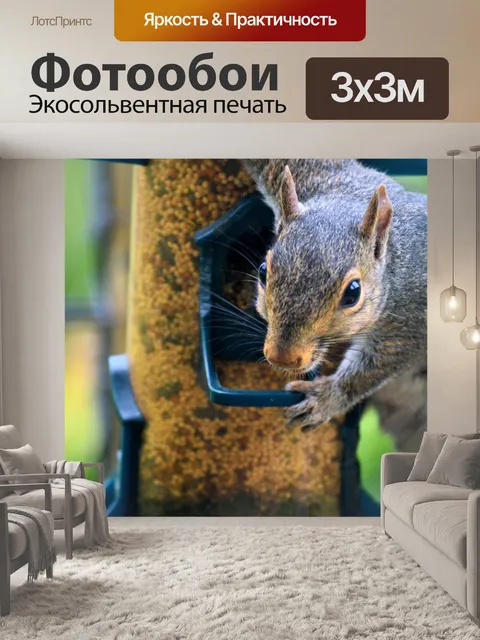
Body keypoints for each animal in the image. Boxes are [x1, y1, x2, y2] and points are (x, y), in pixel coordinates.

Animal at [243, 159, 427, 452]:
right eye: (262, 272)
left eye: (353, 292)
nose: (282, 357)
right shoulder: (311, 173)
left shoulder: (410, 319)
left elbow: (377, 365)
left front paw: (326, 398)